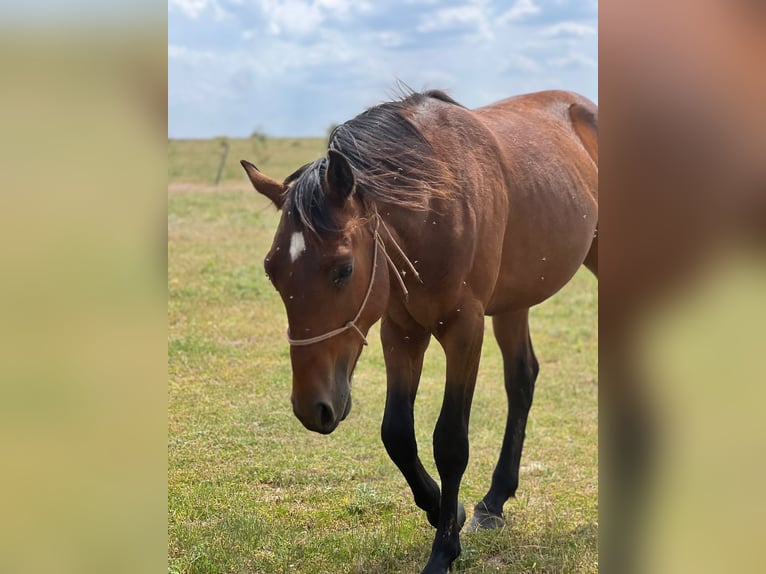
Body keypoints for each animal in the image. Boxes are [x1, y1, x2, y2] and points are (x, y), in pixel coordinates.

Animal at [241, 89, 598, 574]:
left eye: (343, 269)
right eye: (272, 271)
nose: (312, 408)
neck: (435, 206)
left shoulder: (464, 330)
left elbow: (450, 442)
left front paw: (443, 550)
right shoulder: (401, 332)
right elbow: (396, 434)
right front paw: (447, 510)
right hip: (513, 301)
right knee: (522, 379)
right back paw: (493, 502)